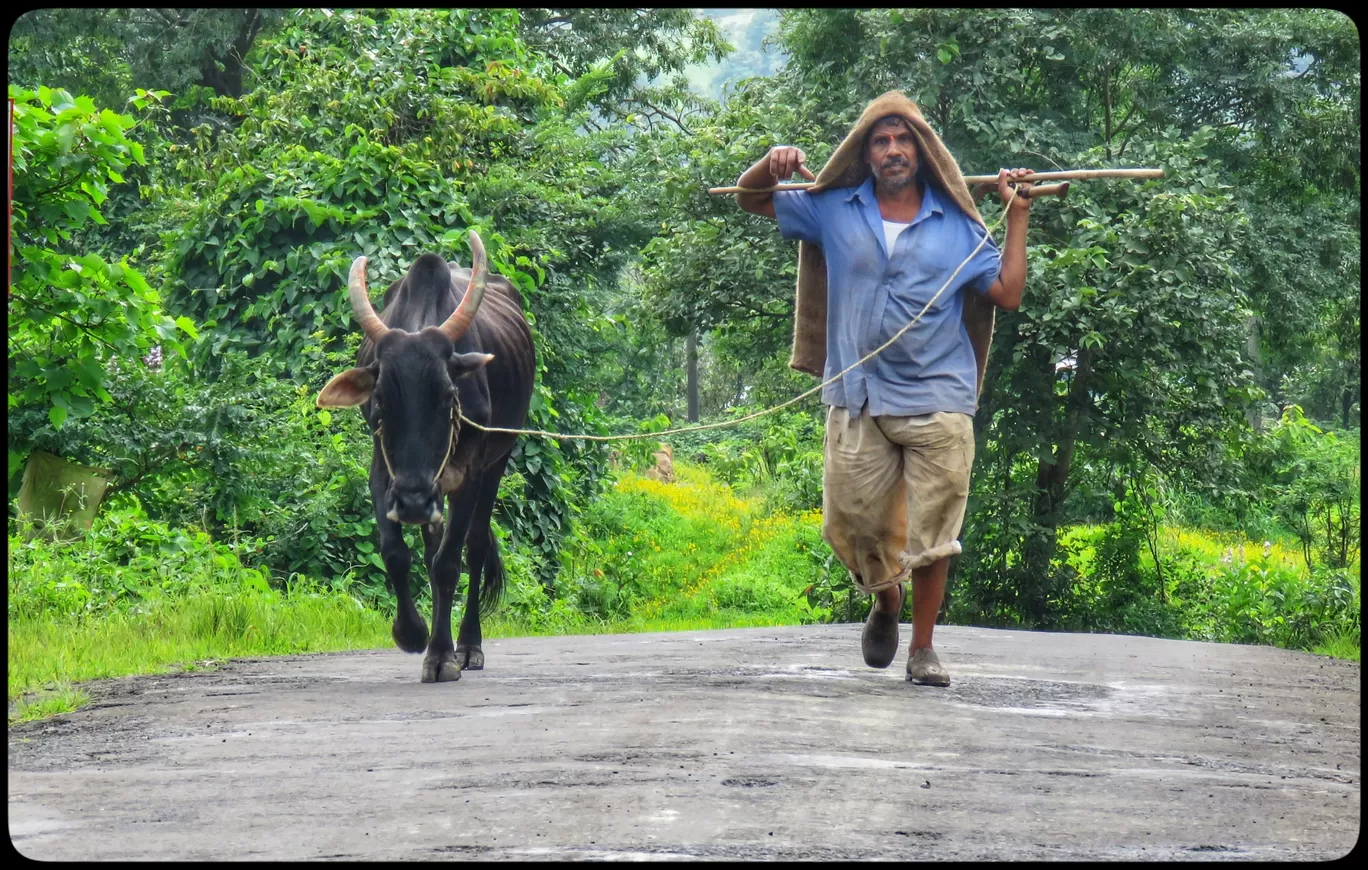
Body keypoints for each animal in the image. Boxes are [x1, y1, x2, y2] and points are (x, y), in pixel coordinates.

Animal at [318, 233, 533, 683]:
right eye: (381, 402)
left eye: (448, 396)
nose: (415, 503)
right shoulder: (384, 472)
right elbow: (396, 553)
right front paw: (413, 633)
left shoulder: (470, 472)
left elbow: (449, 562)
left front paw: (440, 656)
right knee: (433, 547)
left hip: (498, 459)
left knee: (474, 546)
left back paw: (466, 647)